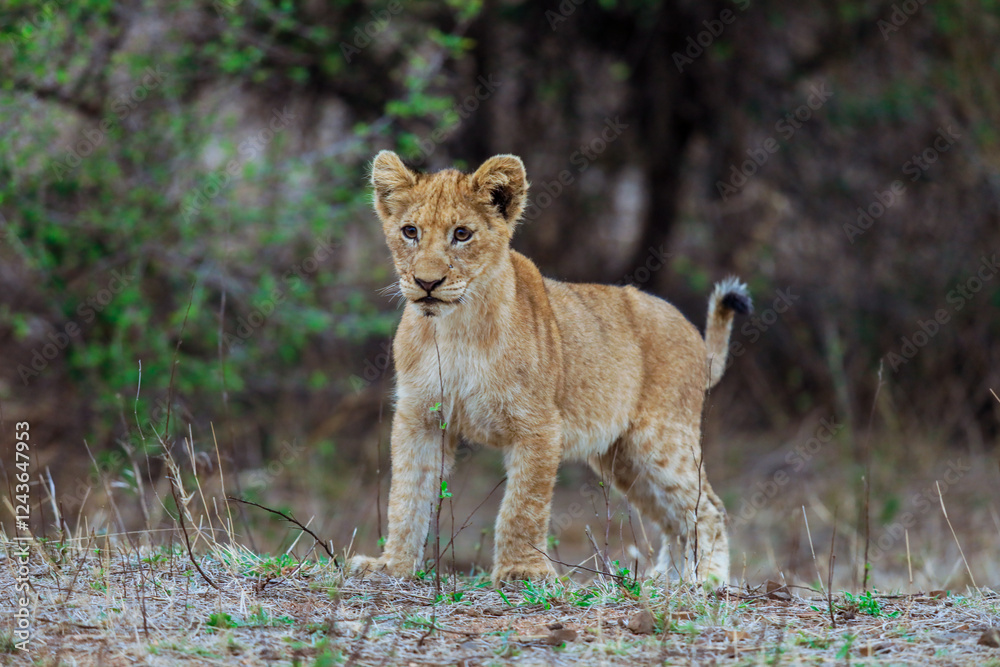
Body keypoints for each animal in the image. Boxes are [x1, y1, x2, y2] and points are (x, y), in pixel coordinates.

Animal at [348, 151, 751, 585]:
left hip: (659, 441)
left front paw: (521, 571)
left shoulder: (539, 425)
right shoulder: (419, 417)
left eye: (462, 234)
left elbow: (523, 503)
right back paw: (668, 581)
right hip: (623, 458)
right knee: (671, 517)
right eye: (410, 232)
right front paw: (392, 565)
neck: (456, 330)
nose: (427, 283)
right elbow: (407, 495)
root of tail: (693, 334)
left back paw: (706, 581)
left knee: (708, 508)